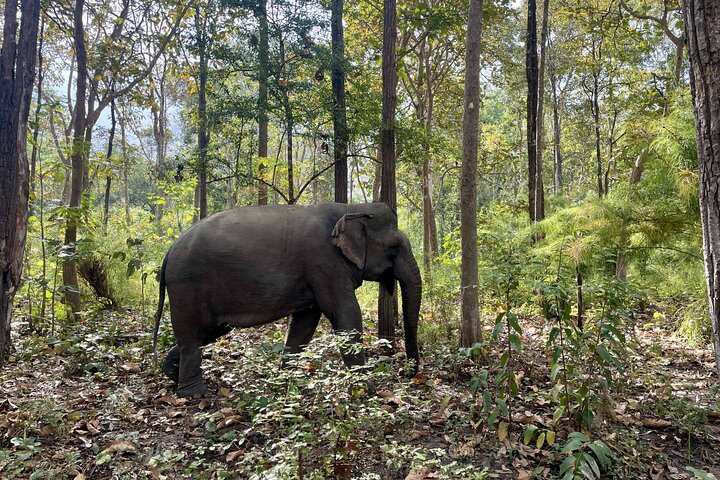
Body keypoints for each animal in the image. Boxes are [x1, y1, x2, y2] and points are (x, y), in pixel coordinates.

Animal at [152, 202, 422, 398]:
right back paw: (193, 395)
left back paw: (171, 374)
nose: (408, 374)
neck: (350, 208)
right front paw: (368, 389)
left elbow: (305, 321)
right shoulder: (324, 262)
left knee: (207, 333)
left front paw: (285, 381)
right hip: (187, 286)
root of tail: (169, 251)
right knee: (192, 336)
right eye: (394, 248)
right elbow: (346, 313)